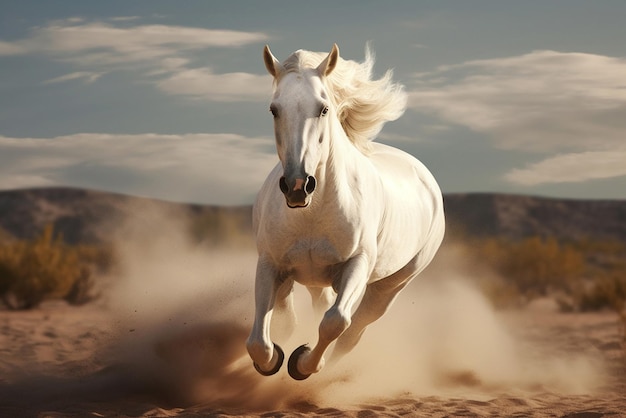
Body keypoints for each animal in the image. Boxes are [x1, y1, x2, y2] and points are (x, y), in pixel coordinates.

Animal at [244, 44, 444, 380]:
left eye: (323, 109)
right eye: (274, 109)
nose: (298, 186)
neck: (313, 214)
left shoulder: (357, 265)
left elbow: (335, 322)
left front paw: (303, 363)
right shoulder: (271, 264)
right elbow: (261, 338)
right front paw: (273, 360)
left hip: (389, 286)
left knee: (353, 332)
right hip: (312, 278)